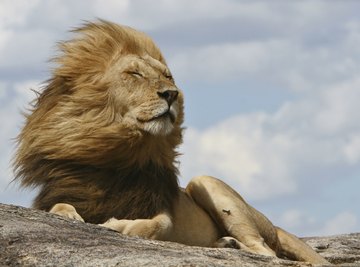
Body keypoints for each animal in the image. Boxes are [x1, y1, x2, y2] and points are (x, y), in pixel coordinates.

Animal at [13, 20, 330, 266]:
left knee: (265, 252)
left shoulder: (162, 209)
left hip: (206, 183)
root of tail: (271, 222)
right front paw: (72, 217)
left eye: (167, 76)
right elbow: (59, 207)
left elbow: (156, 225)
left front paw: (118, 225)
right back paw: (224, 244)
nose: (171, 94)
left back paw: (231, 245)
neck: (116, 156)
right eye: (135, 74)